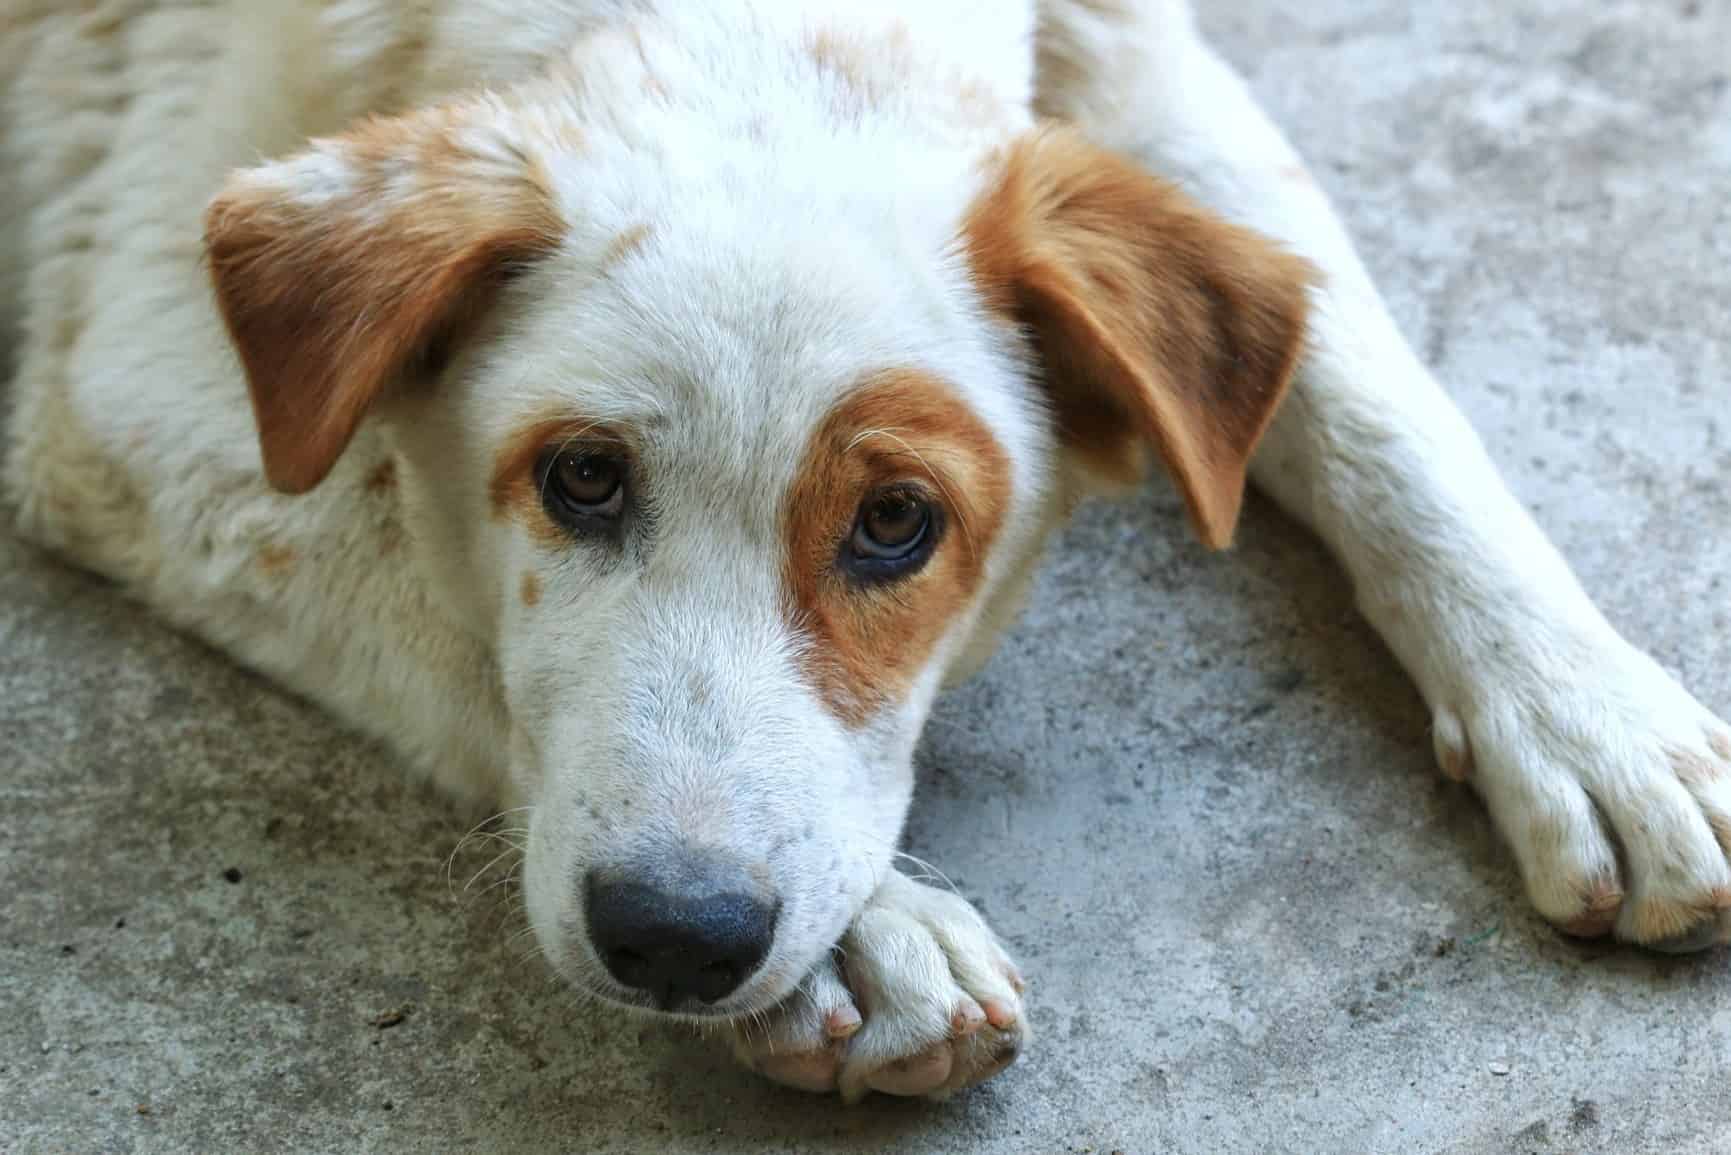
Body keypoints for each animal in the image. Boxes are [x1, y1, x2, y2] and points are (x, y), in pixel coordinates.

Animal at [3, 0, 1731, 1101]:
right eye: (579, 478)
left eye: (896, 520)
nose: (677, 935)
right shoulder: (141, 391)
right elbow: (453, 638)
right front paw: (869, 933)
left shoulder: (1140, 55)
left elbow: (1361, 376)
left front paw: (1588, 715)